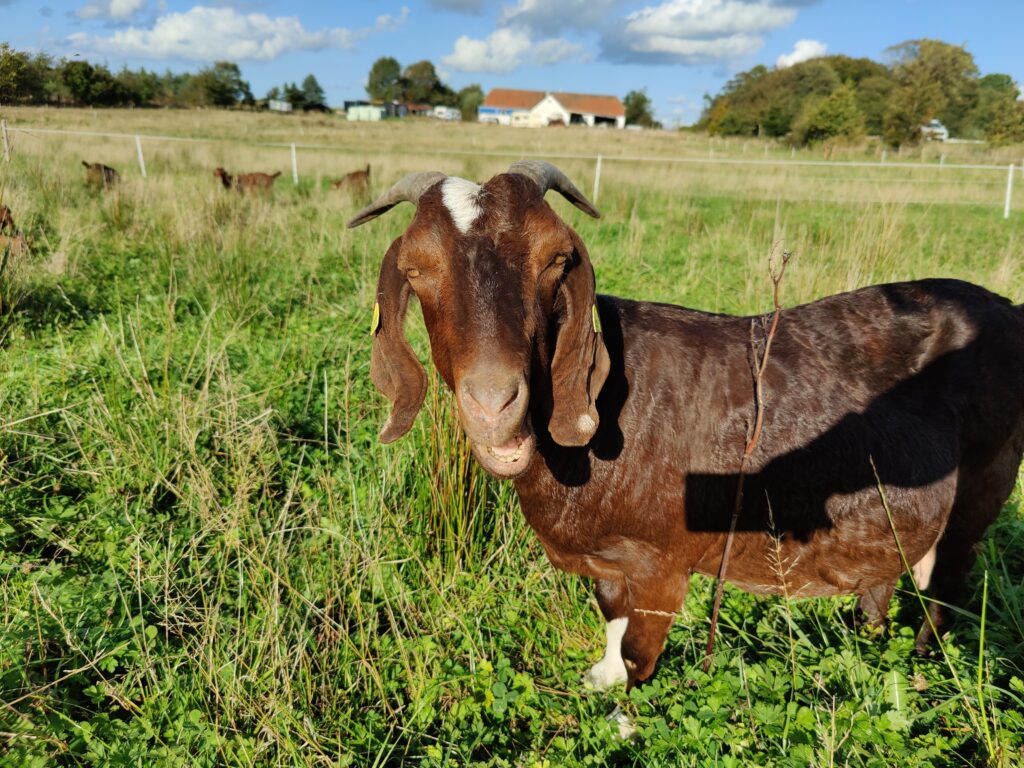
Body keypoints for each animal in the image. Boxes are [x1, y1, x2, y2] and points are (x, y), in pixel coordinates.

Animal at [348, 160, 1024, 696]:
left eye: (557, 259)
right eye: (416, 269)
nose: (493, 402)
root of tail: (1009, 310)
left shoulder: (662, 565)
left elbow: (637, 660)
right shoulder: (612, 567)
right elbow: (611, 633)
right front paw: (596, 681)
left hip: (982, 490)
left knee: (943, 592)